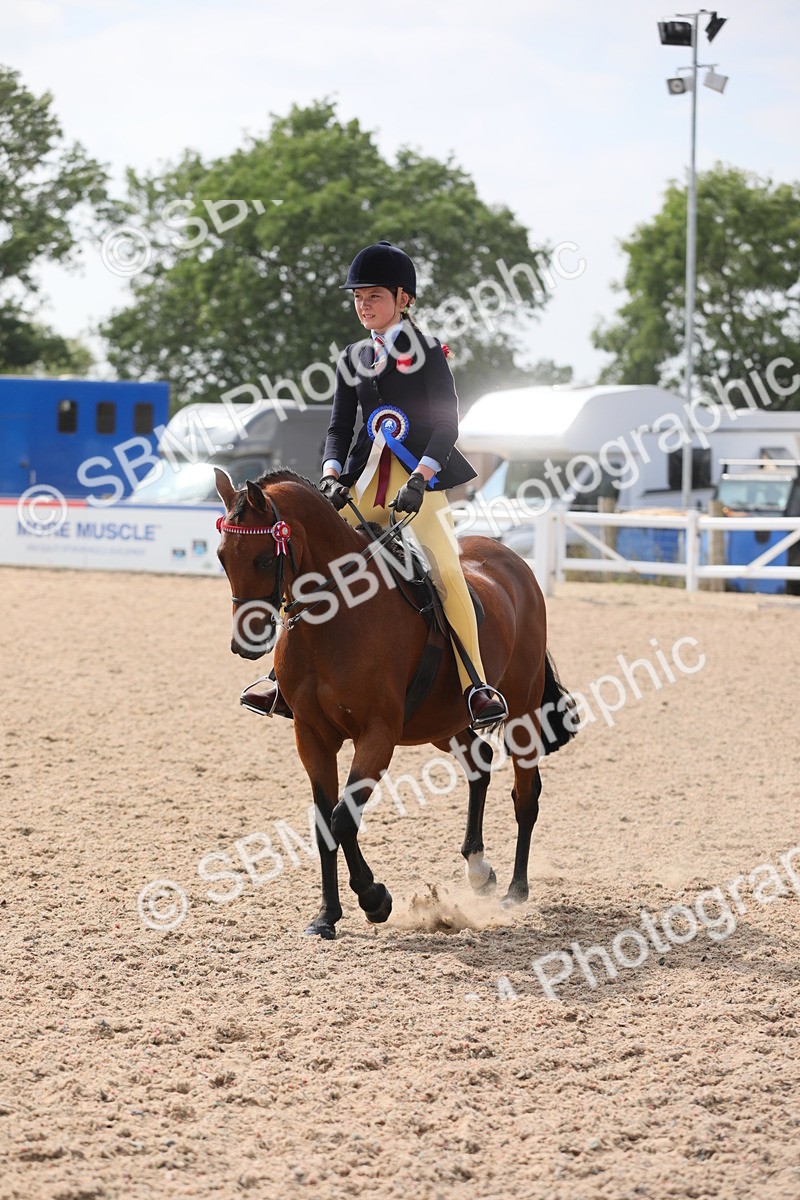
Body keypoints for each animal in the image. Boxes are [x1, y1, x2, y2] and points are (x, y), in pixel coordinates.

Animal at [214, 467, 576, 940]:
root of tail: (512, 560)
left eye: (262, 558)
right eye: (222, 557)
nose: (244, 643)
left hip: (522, 712)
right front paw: (326, 917)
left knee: (525, 795)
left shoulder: (377, 735)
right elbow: (324, 823)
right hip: (442, 721)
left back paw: (516, 891)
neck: (336, 615)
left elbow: (343, 818)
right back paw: (479, 872)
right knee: (478, 763)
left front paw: (375, 899)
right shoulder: (311, 735)